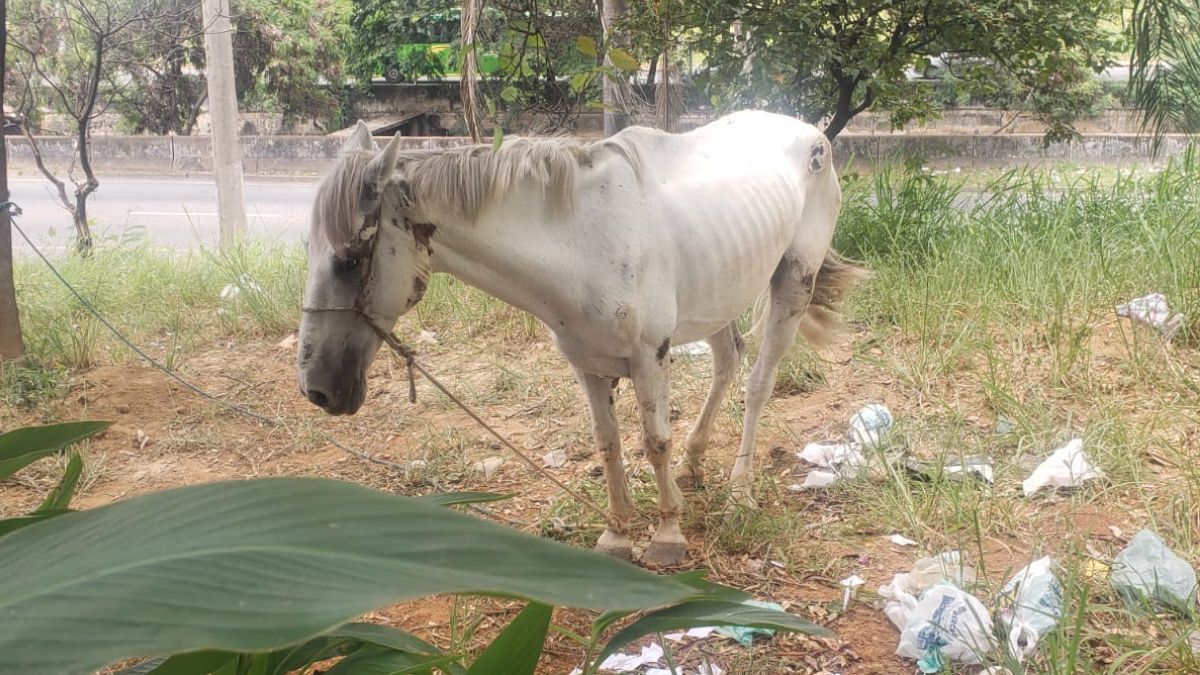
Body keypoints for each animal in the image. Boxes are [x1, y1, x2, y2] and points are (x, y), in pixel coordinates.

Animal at [298, 111, 864, 565]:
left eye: (351, 259)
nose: (317, 389)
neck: (583, 240)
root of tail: (811, 131)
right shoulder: (587, 363)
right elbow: (608, 444)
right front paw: (617, 534)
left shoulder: (650, 359)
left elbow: (654, 442)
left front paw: (667, 533)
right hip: (719, 293)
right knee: (728, 363)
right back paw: (695, 462)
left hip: (793, 283)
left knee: (758, 383)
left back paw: (740, 487)